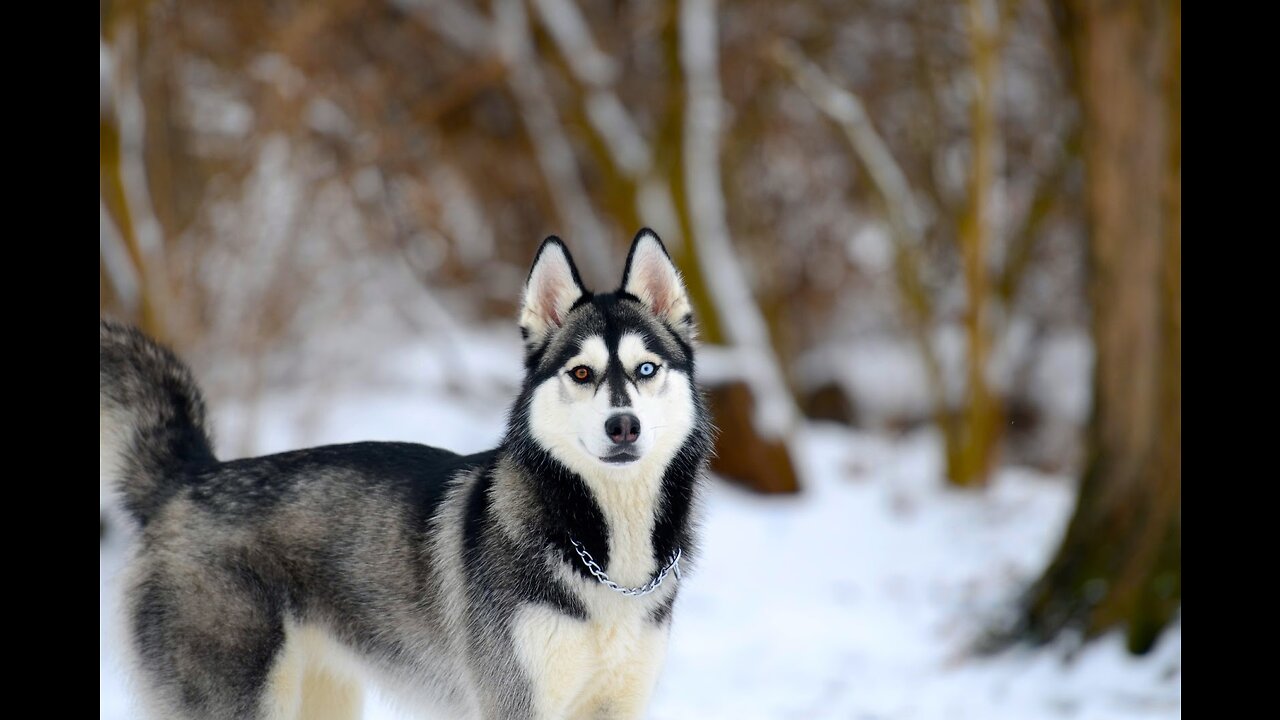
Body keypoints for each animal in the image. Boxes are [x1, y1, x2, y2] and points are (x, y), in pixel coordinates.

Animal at [101, 230, 716, 717]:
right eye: (582, 372)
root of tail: (186, 479)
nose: (623, 426)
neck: (603, 556)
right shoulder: (514, 703)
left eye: (646, 369)